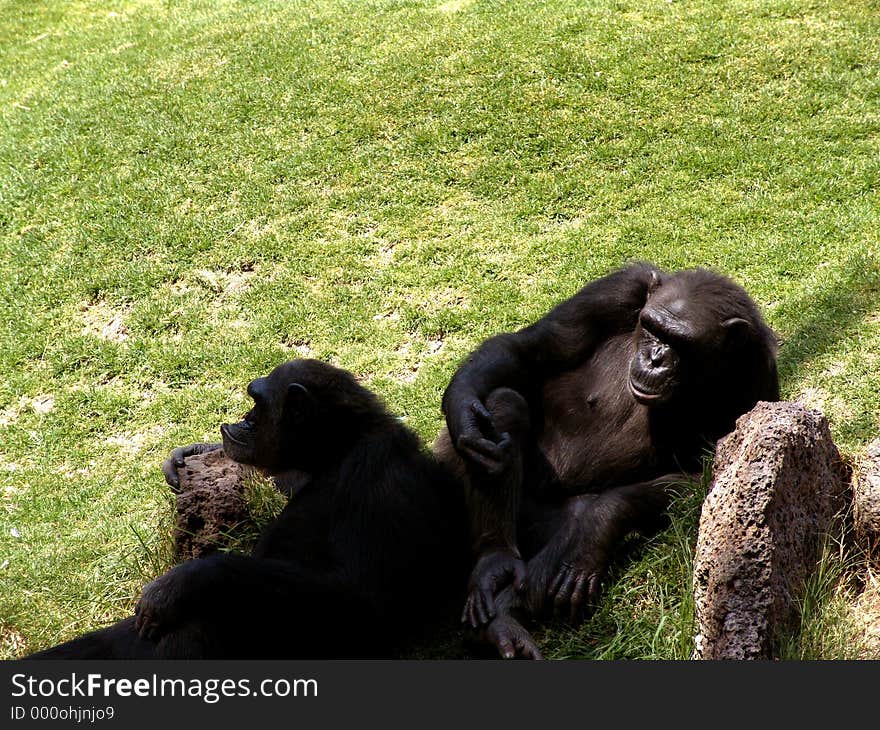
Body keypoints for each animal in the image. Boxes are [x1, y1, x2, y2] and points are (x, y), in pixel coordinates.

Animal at [29, 360, 468, 660]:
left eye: (258, 403)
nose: (244, 419)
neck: (333, 454)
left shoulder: (376, 479)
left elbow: (360, 598)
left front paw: (189, 578)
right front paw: (194, 452)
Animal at [436, 260, 780, 656]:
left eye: (680, 342)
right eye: (651, 327)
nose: (655, 359)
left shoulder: (755, 379)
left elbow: (706, 478)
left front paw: (601, 524)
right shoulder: (616, 290)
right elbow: (531, 349)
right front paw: (464, 412)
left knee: (575, 517)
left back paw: (506, 616)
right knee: (504, 403)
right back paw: (495, 564)